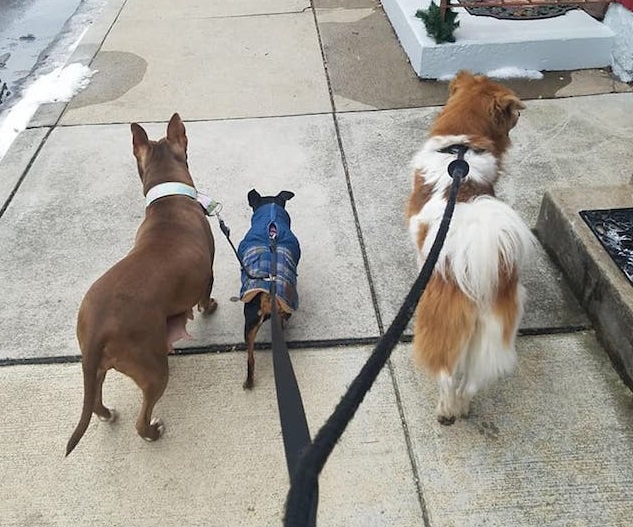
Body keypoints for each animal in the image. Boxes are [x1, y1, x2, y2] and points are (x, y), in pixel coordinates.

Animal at [65, 113, 216, 456]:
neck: (168, 199)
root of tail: (98, 328)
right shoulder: (208, 273)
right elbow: (205, 296)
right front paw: (210, 308)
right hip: (154, 371)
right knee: (141, 417)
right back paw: (151, 432)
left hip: (99, 366)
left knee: (95, 398)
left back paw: (106, 414)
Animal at [404, 71, 532, 424]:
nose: (520, 114)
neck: (460, 149)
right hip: (493, 333)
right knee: (473, 382)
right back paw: (461, 407)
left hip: (441, 326)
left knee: (448, 376)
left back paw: (446, 410)